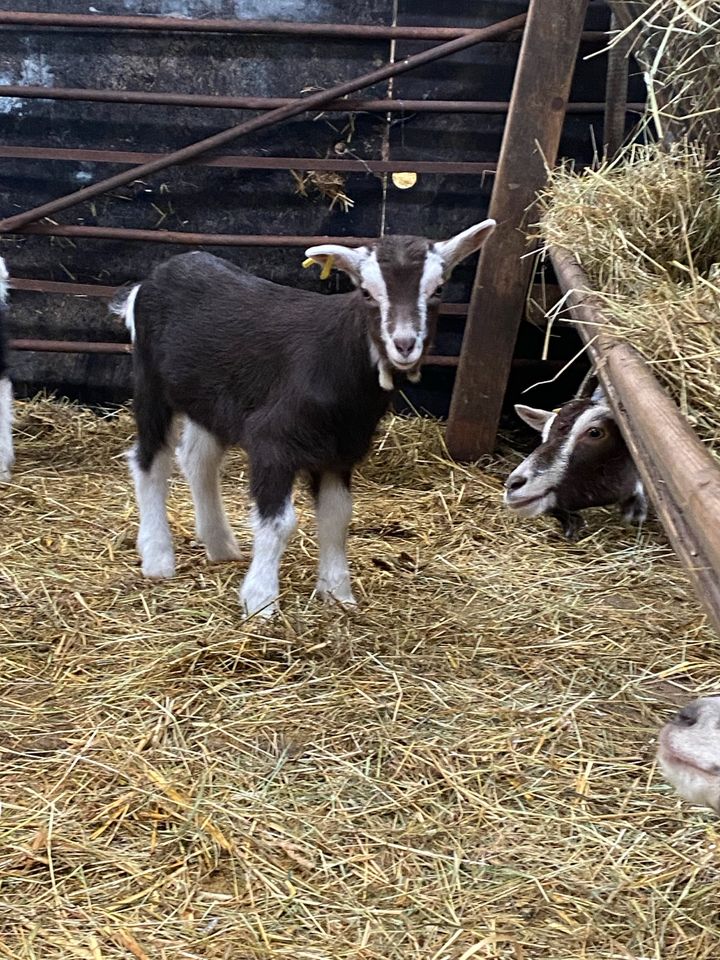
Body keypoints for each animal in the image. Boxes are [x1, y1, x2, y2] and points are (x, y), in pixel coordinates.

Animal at [114, 219, 496, 616]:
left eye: (437, 290)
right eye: (366, 293)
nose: (404, 344)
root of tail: (155, 278)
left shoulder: (340, 452)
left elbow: (337, 517)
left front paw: (338, 593)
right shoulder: (272, 443)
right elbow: (281, 522)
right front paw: (260, 601)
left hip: (208, 398)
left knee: (197, 459)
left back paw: (220, 545)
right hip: (150, 381)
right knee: (149, 460)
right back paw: (158, 558)